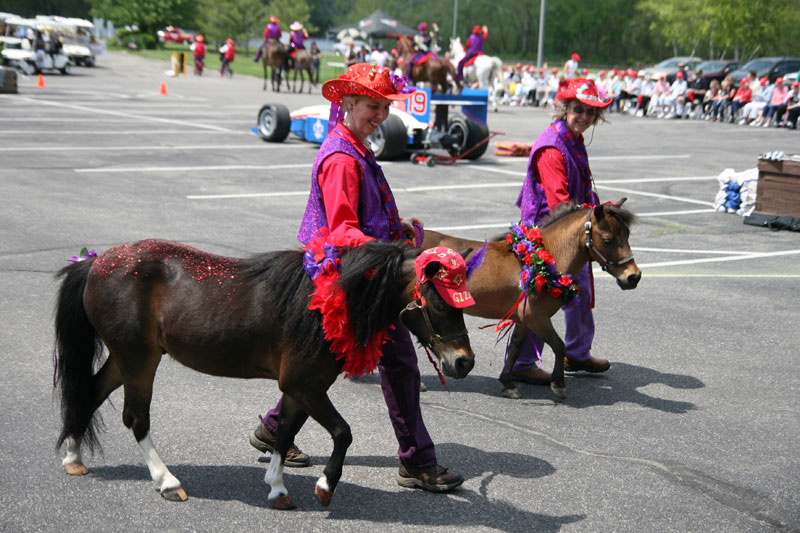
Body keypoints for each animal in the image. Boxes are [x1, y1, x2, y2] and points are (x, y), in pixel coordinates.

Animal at [54, 240, 476, 508]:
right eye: (439, 302)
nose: (464, 362)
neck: (326, 305)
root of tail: (95, 263)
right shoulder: (304, 384)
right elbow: (343, 433)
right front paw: (325, 485)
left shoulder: (300, 388)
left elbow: (285, 432)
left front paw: (277, 488)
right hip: (138, 359)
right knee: (136, 418)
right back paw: (167, 481)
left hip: (126, 357)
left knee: (88, 393)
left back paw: (73, 457)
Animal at [422, 200, 640, 400]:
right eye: (608, 239)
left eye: (627, 234)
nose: (633, 277)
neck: (543, 260)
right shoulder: (537, 318)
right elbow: (559, 346)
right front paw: (558, 384)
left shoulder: (524, 320)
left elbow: (515, 349)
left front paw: (508, 383)